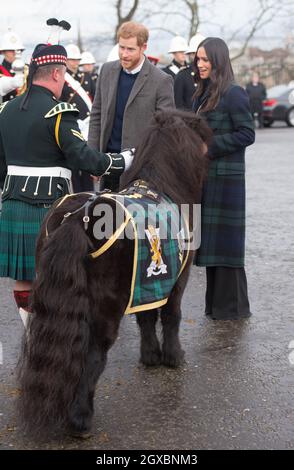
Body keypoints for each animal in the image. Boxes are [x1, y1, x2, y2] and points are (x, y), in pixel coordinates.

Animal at [17, 109, 210, 436]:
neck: (164, 185)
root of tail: (77, 218)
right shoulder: (177, 280)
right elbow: (172, 316)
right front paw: (173, 356)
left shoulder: (145, 284)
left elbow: (146, 317)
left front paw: (151, 356)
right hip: (106, 307)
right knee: (94, 352)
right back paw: (80, 419)